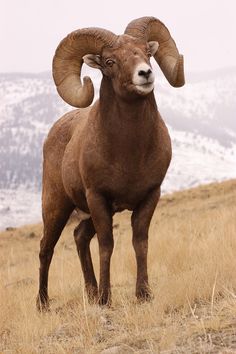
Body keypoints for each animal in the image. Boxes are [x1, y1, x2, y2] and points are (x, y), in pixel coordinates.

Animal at [36, 16, 184, 310]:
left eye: (147, 52)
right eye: (110, 61)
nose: (144, 74)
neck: (129, 154)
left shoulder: (150, 196)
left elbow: (140, 242)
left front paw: (143, 294)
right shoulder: (98, 199)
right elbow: (107, 245)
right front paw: (106, 298)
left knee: (80, 237)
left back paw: (90, 293)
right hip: (56, 206)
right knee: (47, 248)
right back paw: (44, 304)